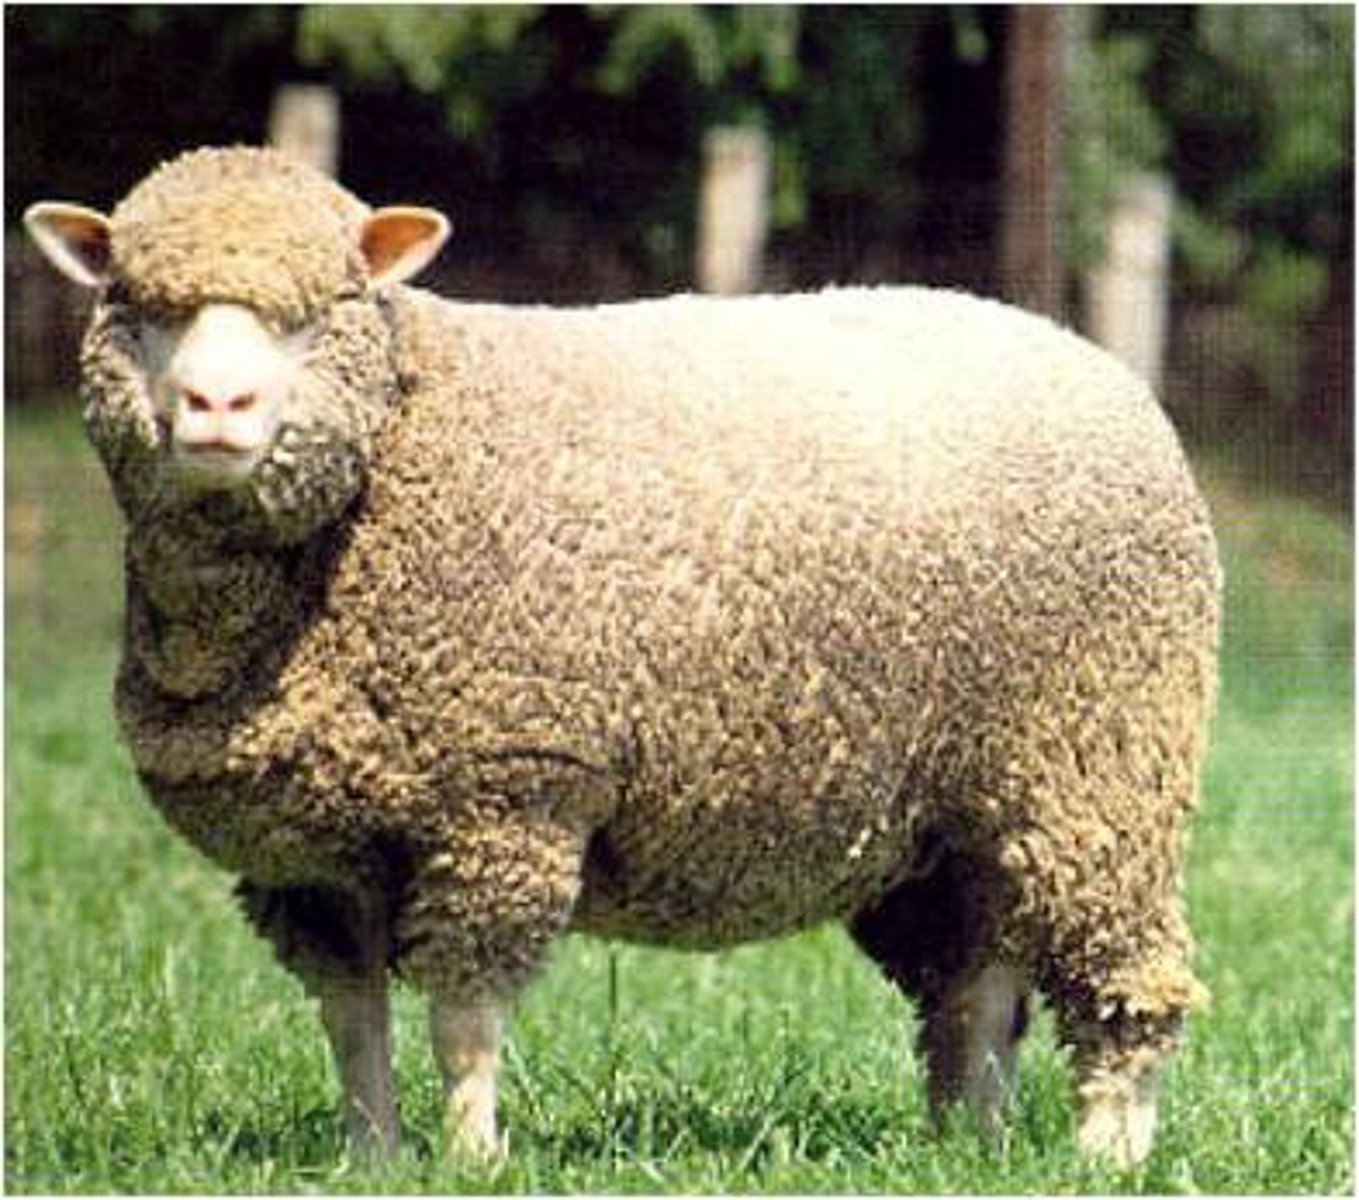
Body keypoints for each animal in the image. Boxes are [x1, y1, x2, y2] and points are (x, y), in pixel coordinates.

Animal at [25, 145, 1219, 1170]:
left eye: (323, 313)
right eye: (136, 310)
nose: (215, 407)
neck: (404, 441)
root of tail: (1088, 356)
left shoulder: (505, 799)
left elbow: (464, 1018)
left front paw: (472, 1159)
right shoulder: (311, 855)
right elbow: (352, 1020)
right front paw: (371, 1156)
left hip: (1101, 766)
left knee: (1120, 977)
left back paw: (1105, 1152)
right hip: (954, 824)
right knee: (981, 986)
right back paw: (968, 1144)